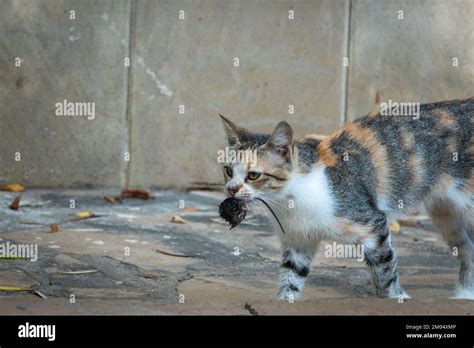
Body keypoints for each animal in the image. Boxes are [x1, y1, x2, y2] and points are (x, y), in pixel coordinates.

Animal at [220, 96, 472, 300]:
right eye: (229, 171)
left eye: (254, 175)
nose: (231, 189)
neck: (288, 201)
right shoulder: (298, 239)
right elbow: (292, 275)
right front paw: (284, 300)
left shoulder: (371, 222)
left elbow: (384, 270)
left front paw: (396, 297)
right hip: (447, 215)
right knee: (468, 248)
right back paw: (464, 294)